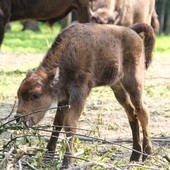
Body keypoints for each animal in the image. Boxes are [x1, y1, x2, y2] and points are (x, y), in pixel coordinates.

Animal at [15, 22, 155, 167]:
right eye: (19, 94)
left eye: (36, 95)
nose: (18, 117)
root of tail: (132, 31)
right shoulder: (64, 98)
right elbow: (57, 124)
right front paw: (47, 159)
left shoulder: (80, 94)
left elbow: (70, 123)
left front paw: (67, 162)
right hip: (117, 87)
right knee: (132, 113)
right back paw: (134, 156)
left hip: (134, 83)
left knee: (142, 111)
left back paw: (148, 156)